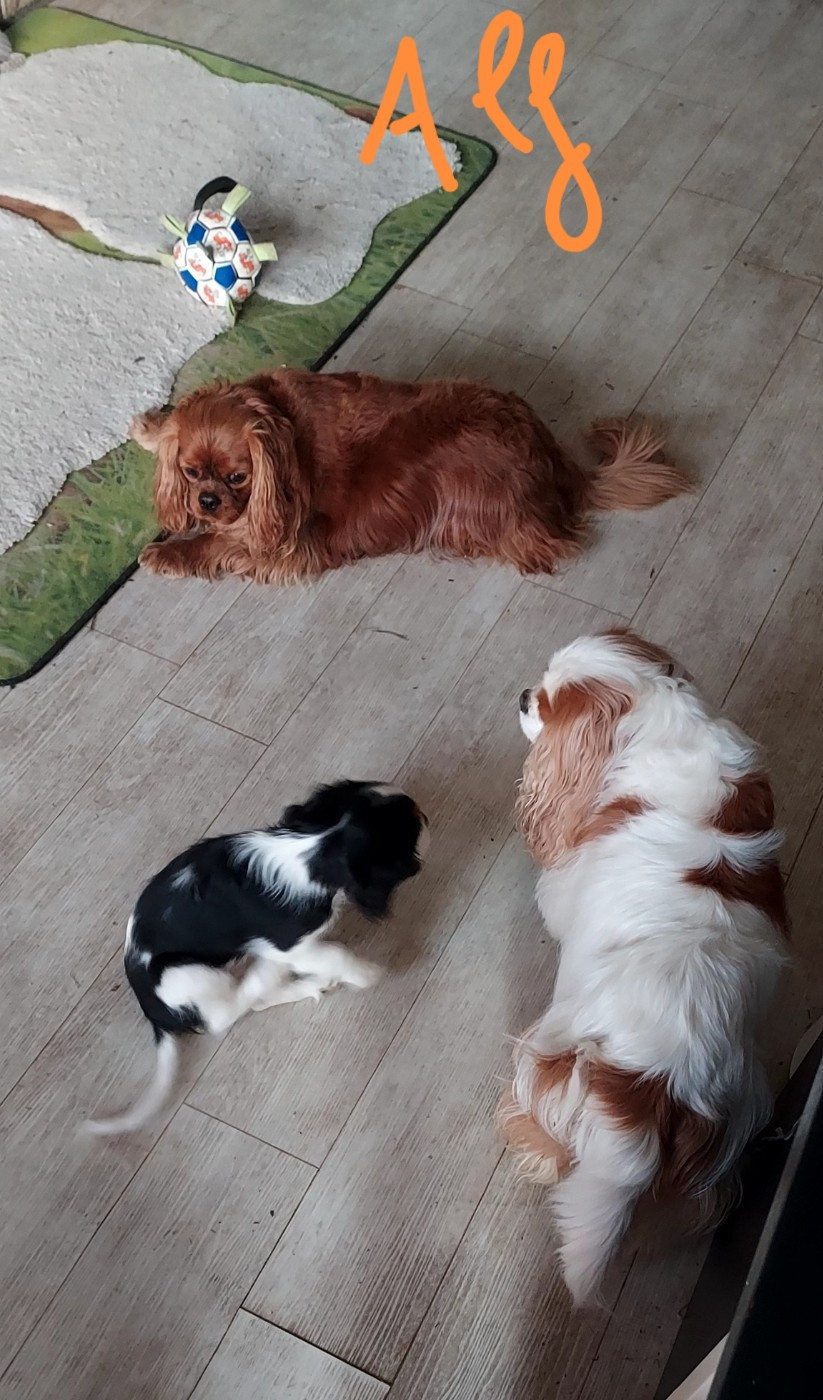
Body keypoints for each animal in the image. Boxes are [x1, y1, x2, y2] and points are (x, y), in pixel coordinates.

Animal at [86, 780, 428, 1136]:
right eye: (414, 827)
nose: (429, 818)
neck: (313, 845)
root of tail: (153, 1012)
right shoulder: (293, 944)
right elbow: (336, 953)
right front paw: (367, 973)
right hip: (182, 974)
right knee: (235, 1006)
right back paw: (280, 979)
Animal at [130, 368, 690, 584]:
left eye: (237, 479)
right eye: (190, 472)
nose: (206, 502)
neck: (278, 421)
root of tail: (555, 457)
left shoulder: (289, 544)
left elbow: (218, 544)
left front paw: (168, 553)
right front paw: (150, 426)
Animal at [498, 629, 788, 1305]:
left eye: (545, 704)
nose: (522, 693)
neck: (657, 720)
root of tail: (652, 1085)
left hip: (547, 1056)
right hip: (742, 1105)